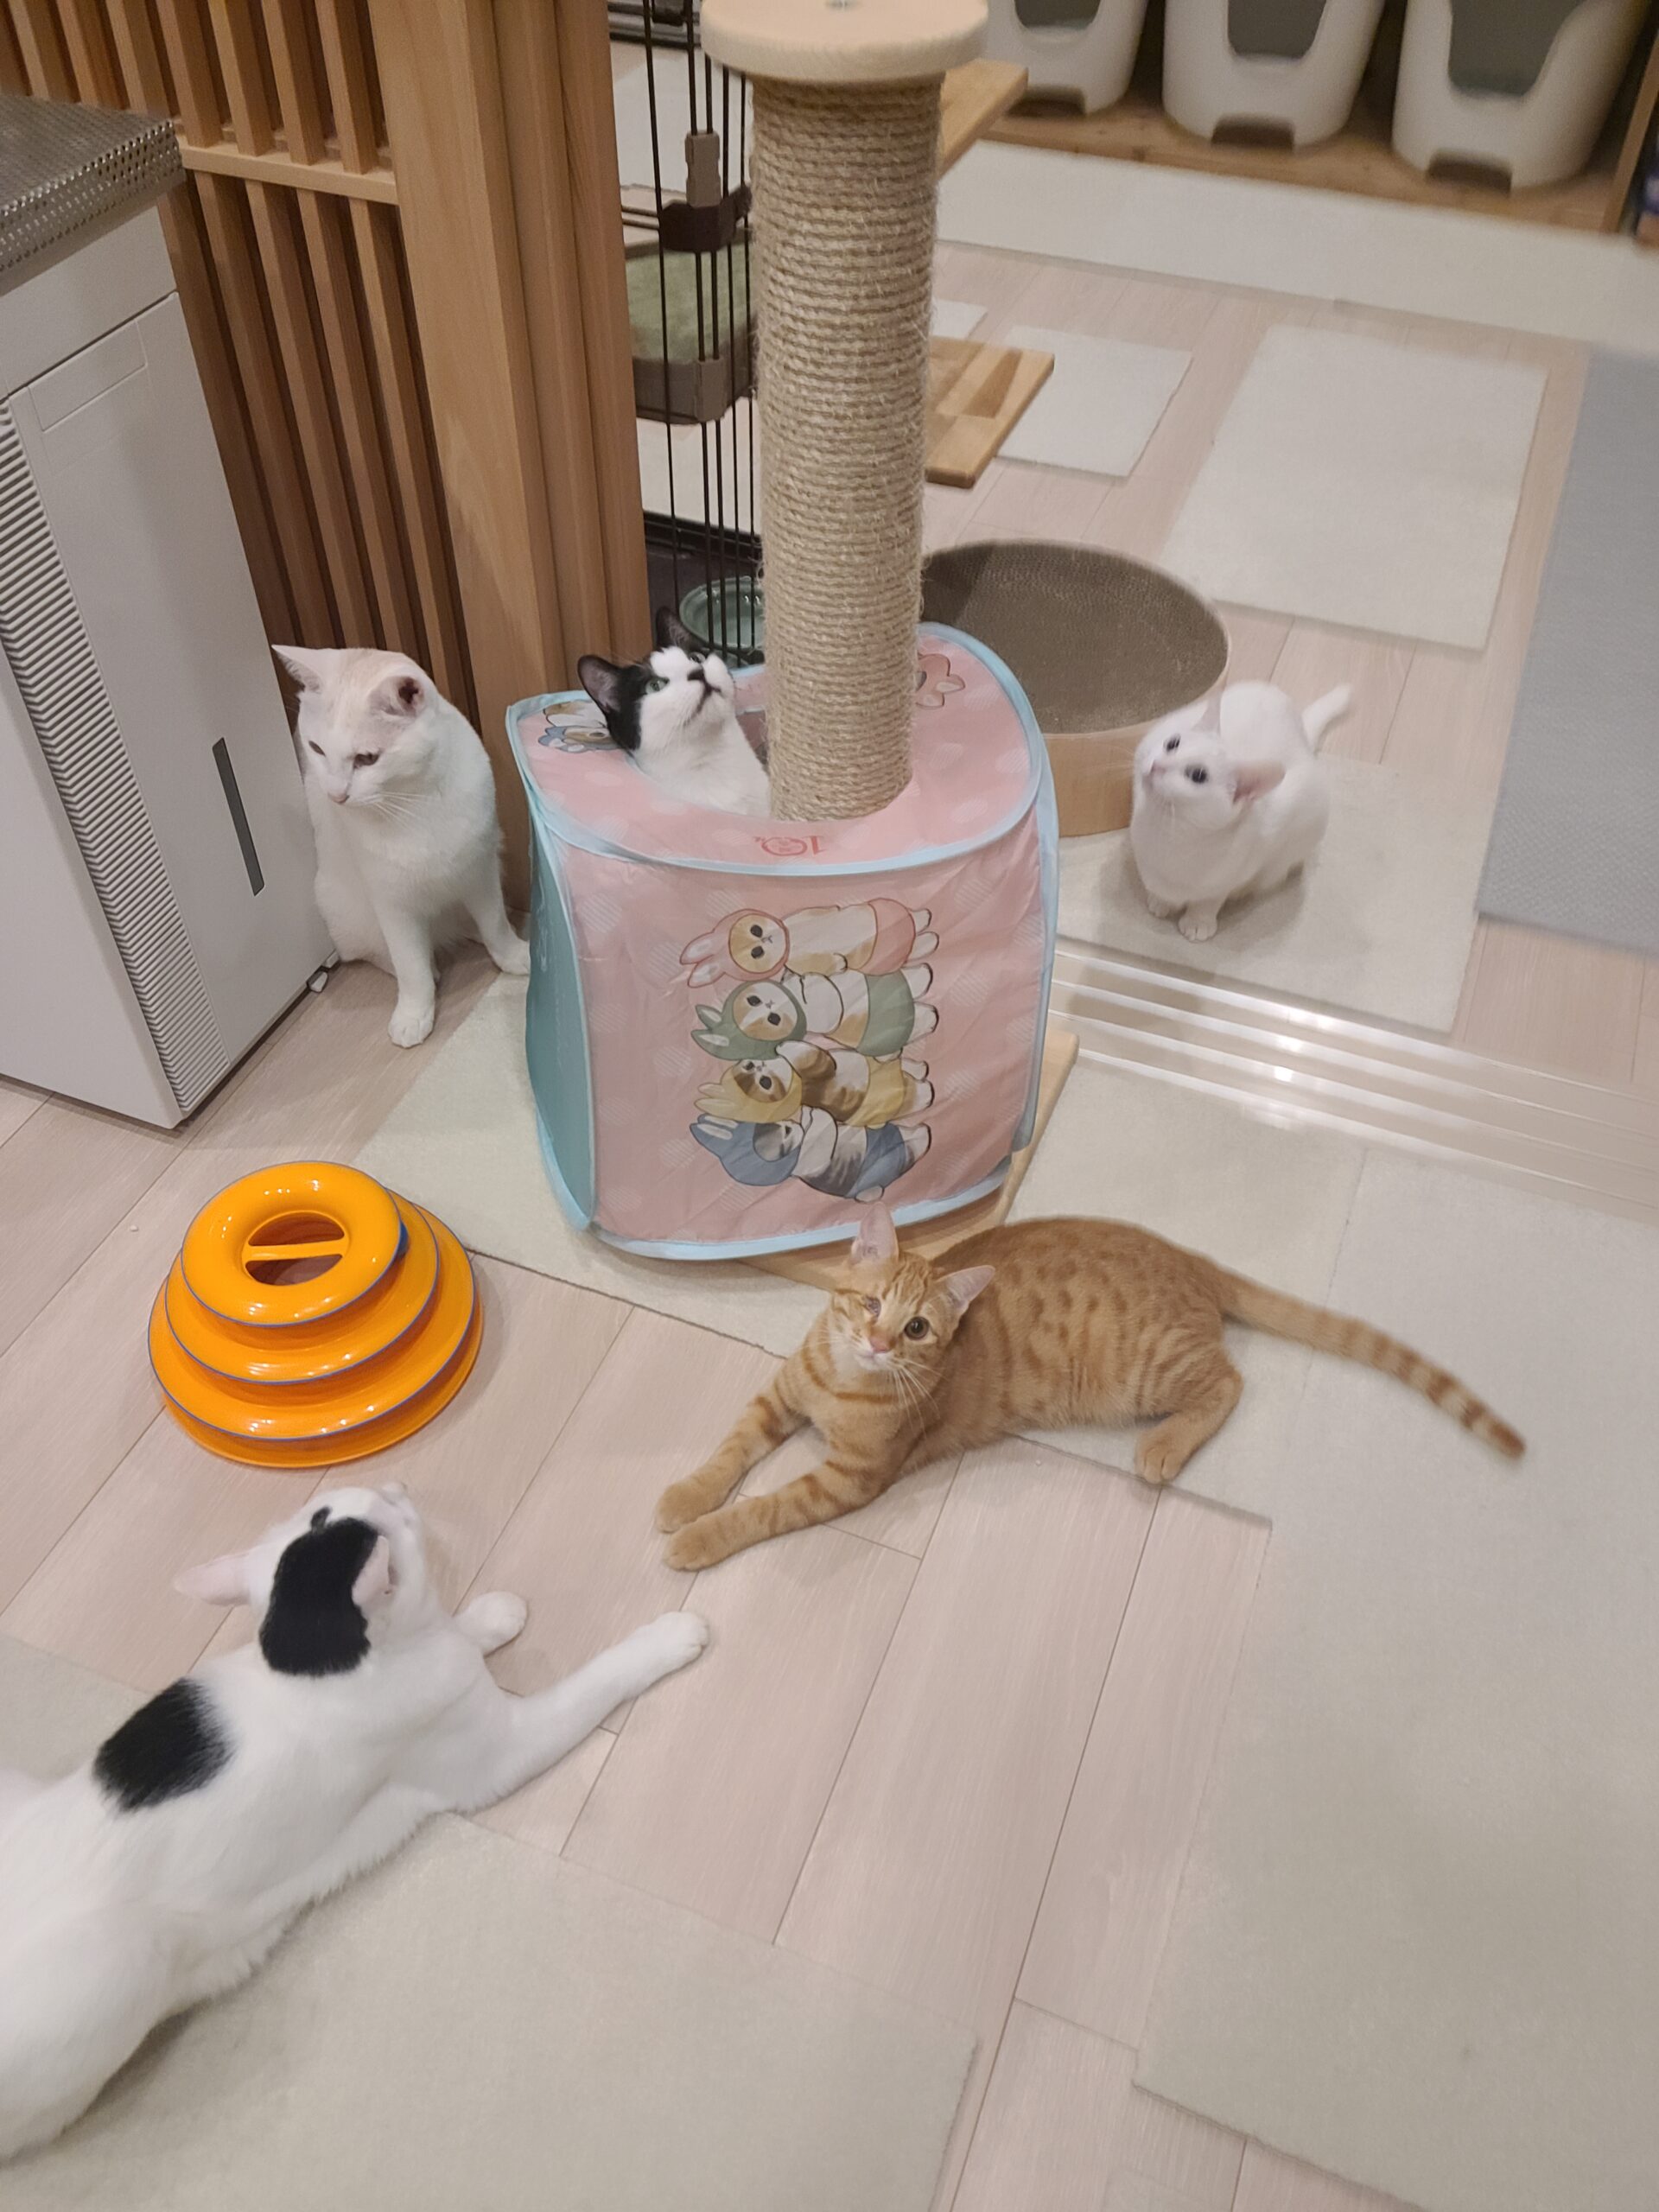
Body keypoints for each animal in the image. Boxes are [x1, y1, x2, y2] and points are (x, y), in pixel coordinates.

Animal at [0, 1483, 708, 2161]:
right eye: (387, 1512)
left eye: (322, 1508)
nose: (395, 1485)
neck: (304, 1665)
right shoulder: (497, 1751)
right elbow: (594, 1683)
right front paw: (669, 1638)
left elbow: (459, 1630)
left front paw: (491, 1614)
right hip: (121, 1969)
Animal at [278, 646, 529, 1048]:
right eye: (316, 748)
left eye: (366, 759)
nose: (336, 796)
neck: (413, 800)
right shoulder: (392, 902)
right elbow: (410, 966)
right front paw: (414, 1013)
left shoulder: (480, 869)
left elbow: (495, 924)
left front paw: (514, 955)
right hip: (344, 910)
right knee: (376, 954)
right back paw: (430, 966)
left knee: (471, 920)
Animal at [654, 1204, 1522, 1570]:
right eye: (870, 1306)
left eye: (918, 1329)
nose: (876, 1341)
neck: (841, 1382)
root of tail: (1187, 1257)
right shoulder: (777, 1397)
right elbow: (728, 1453)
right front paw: (684, 1498)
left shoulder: (847, 1480)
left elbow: (764, 1508)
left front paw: (699, 1539)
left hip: (1149, 1370)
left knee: (1230, 1380)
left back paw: (1165, 1448)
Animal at [1129, 680, 1352, 943]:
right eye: (1172, 744)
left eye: (1197, 776)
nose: (1156, 765)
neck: (1171, 834)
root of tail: (1301, 730)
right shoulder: (1145, 859)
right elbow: (1158, 887)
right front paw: (1161, 902)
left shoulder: (1228, 877)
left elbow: (1209, 901)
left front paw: (1198, 922)